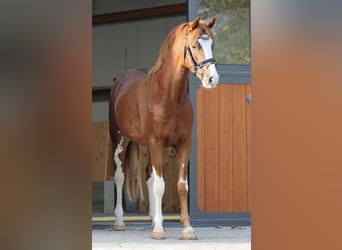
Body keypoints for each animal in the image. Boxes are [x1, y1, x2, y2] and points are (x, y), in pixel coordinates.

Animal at [108, 16, 218, 239]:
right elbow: (160, 186)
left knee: (149, 177)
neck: (169, 96)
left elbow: (181, 186)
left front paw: (187, 229)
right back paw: (120, 222)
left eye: (211, 44)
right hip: (120, 140)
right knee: (120, 176)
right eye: (195, 45)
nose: (212, 79)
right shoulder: (156, 143)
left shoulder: (184, 144)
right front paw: (159, 230)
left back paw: (151, 220)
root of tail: (120, 81)